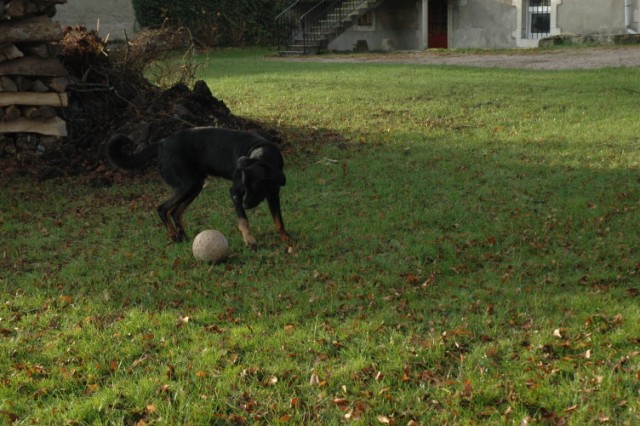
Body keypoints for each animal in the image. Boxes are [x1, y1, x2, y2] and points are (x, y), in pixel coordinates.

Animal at [107, 126, 288, 248]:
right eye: (245, 187)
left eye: (257, 187)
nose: (245, 204)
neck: (260, 155)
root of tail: (161, 143)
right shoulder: (234, 192)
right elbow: (243, 220)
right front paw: (250, 241)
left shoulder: (273, 194)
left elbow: (279, 220)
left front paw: (286, 239)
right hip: (187, 185)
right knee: (162, 208)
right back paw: (173, 235)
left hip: (195, 186)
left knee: (175, 211)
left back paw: (183, 237)